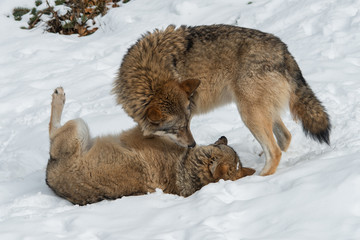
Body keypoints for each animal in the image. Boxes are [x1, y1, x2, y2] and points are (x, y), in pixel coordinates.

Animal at [46, 87, 255, 205]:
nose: (223, 137)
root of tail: (49, 180)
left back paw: (59, 96)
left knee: (52, 129)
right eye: (222, 146)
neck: (184, 167)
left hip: (78, 127)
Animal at [112, 23, 330, 175]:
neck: (148, 75)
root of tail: (283, 49)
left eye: (186, 124)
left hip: (248, 113)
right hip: (263, 111)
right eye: (179, 127)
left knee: (275, 150)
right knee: (285, 137)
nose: (193, 145)